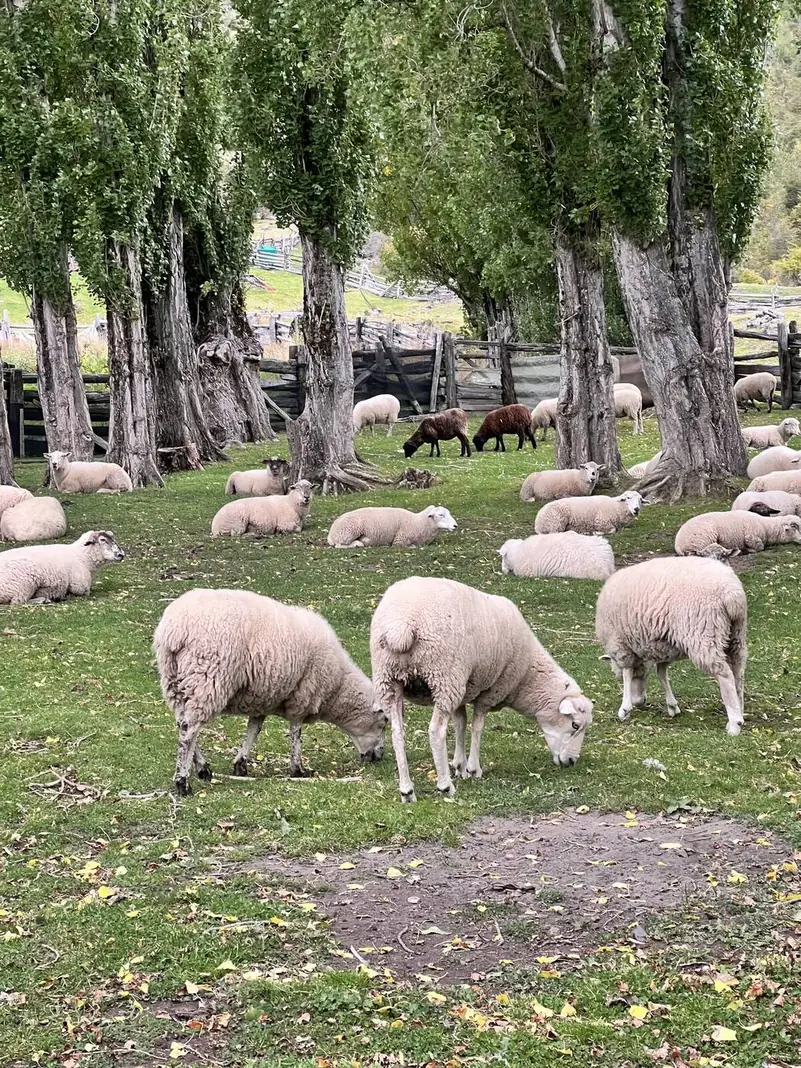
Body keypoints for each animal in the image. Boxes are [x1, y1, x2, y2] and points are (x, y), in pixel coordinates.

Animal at [153, 587, 387, 794]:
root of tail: (175, 631)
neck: (337, 688)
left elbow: (254, 729)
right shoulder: (302, 695)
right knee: (189, 730)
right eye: (383, 723)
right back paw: (183, 782)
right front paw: (298, 769)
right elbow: (296, 732)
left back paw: (203, 768)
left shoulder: (262, 697)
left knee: (182, 724)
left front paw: (241, 763)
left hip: (175, 680)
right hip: (207, 677)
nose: (379, 757)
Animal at [327, 505, 457, 548]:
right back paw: (358, 543)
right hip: (347, 532)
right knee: (340, 545)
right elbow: (412, 546)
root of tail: (330, 534)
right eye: (441, 515)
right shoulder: (400, 541)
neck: (418, 522)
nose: (455, 525)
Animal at [370, 576, 593, 802]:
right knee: (436, 731)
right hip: (443, 676)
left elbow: (460, 723)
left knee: (398, 733)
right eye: (575, 724)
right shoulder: (488, 693)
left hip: (391, 680)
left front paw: (459, 765)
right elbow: (477, 727)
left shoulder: (463, 689)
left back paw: (407, 791)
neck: (526, 677)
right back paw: (445, 786)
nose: (572, 761)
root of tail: (401, 626)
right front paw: (472, 769)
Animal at [596, 556, 747, 735]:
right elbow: (661, 673)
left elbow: (628, 673)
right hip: (736, 635)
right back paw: (738, 710)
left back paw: (735, 724)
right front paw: (672, 706)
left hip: (704, 634)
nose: (639, 701)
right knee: (738, 671)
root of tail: (732, 594)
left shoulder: (621, 645)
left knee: (725, 674)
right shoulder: (663, 646)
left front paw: (625, 709)